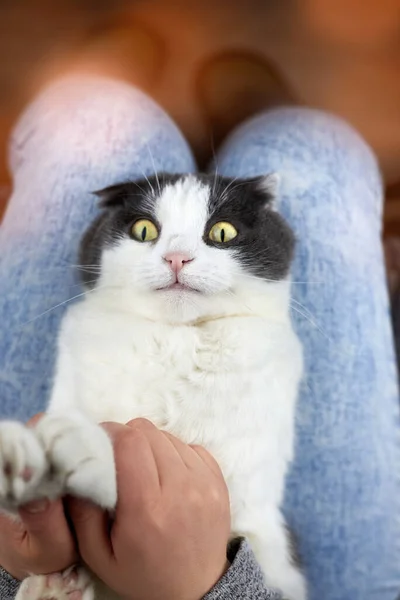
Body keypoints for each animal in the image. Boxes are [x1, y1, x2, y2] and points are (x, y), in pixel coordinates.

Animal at [0, 171, 306, 596]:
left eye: (222, 232)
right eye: (143, 230)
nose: (177, 258)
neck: (173, 340)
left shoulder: (244, 494)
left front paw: (81, 447)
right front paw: (20, 452)